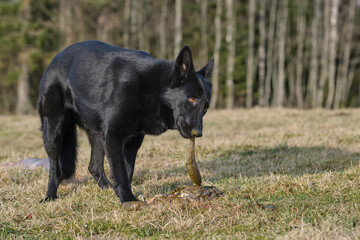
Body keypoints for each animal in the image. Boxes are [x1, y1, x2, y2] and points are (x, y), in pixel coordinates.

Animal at [38, 40, 214, 204]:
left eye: (205, 108)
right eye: (191, 99)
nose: (198, 133)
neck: (153, 90)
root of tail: (55, 59)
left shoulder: (133, 140)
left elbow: (128, 169)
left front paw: (123, 196)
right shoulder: (112, 136)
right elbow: (120, 171)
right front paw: (127, 199)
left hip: (98, 135)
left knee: (94, 167)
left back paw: (107, 188)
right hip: (53, 131)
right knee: (55, 167)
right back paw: (50, 195)